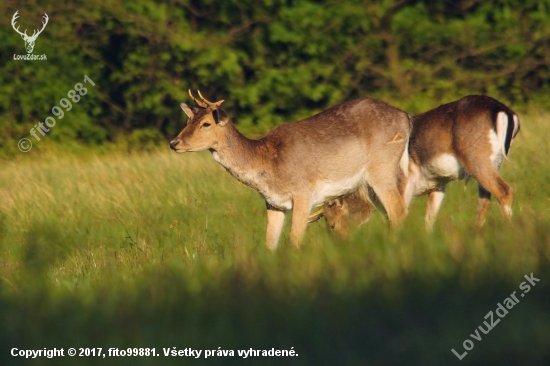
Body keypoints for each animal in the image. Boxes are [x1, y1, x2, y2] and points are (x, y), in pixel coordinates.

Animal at [172, 90, 414, 250]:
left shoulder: (304, 193)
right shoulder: (273, 203)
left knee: (399, 211)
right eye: (189, 119)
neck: (268, 165)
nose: (174, 143)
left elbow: (294, 240)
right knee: (391, 215)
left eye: (206, 123)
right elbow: (270, 244)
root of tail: (406, 117)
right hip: (367, 186)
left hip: (381, 169)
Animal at [310, 95, 520, 237]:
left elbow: (394, 218)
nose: (343, 243)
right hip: (495, 162)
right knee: (485, 198)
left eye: (331, 224)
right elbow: (429, 219)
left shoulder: (403, 182)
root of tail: (506, 112)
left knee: (504, 190)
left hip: (477, 159)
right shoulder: (437, 185)